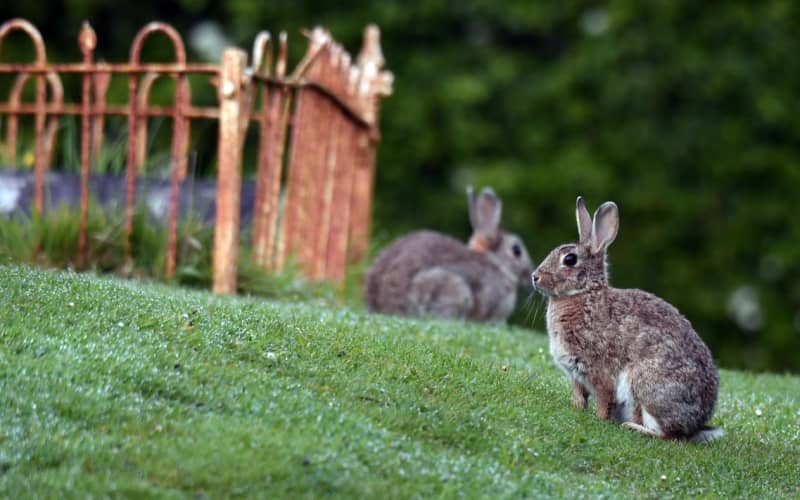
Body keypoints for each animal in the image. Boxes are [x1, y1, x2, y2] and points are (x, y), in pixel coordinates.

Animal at [531, 197, 722, 443]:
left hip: (646, 386)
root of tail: (696, 425)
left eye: (570, 259)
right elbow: (579, 397)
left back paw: (633, 428)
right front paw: (576, 409)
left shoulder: (599, 370)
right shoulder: (576, 376)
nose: (534, 277)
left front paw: (599, 420)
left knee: (670, 435)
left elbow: (603, 400)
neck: (584, 293)